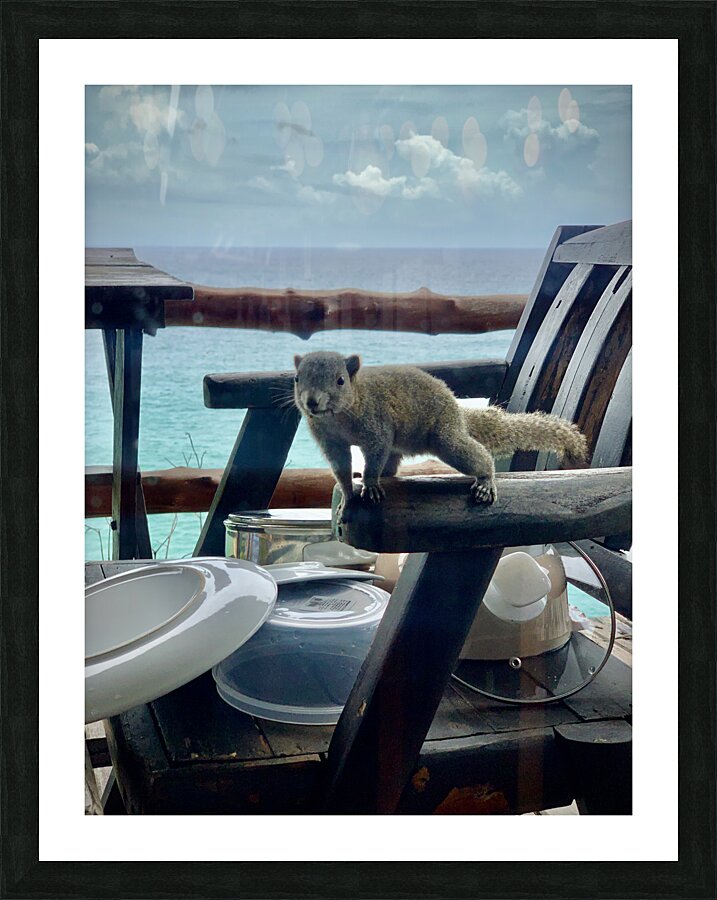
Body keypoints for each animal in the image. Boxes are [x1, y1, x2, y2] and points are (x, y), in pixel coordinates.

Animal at [293, 351, 588, 509]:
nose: (311, 401)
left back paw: (486, 480)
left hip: (445, 438)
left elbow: (375, 454)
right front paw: (347, 494)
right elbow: (340, 466)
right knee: (393, 463)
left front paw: (371, 483)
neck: (338, 416)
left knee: (476, 455)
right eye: (296, 378)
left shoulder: (376, 426)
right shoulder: (329, 440)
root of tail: (457, 412)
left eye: (340, 381)